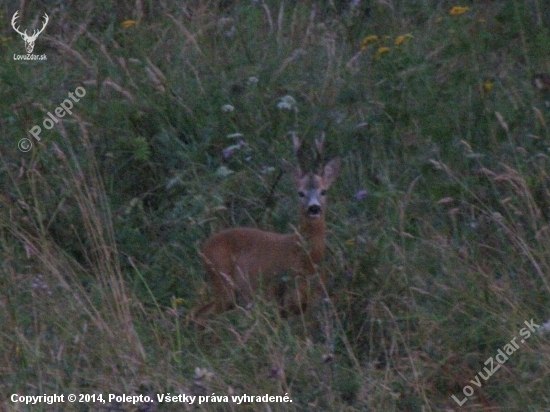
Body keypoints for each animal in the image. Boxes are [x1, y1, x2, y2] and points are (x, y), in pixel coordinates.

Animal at [194, 135, 340, 318]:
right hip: (221, 279)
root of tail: (204, 248)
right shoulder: (280, 290)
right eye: (300, 193)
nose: (314, 208)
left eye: (323, 191)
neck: (305, 255)